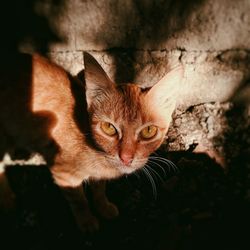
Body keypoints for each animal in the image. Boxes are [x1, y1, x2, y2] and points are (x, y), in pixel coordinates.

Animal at [0, 52, 184, 232]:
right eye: (108, 127)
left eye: (148, 131)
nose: (126, 158)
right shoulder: (63, 174)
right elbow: (79, 201)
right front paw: (86, 221)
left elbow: (99, 189)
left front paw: (103, 206)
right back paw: (7, 199)